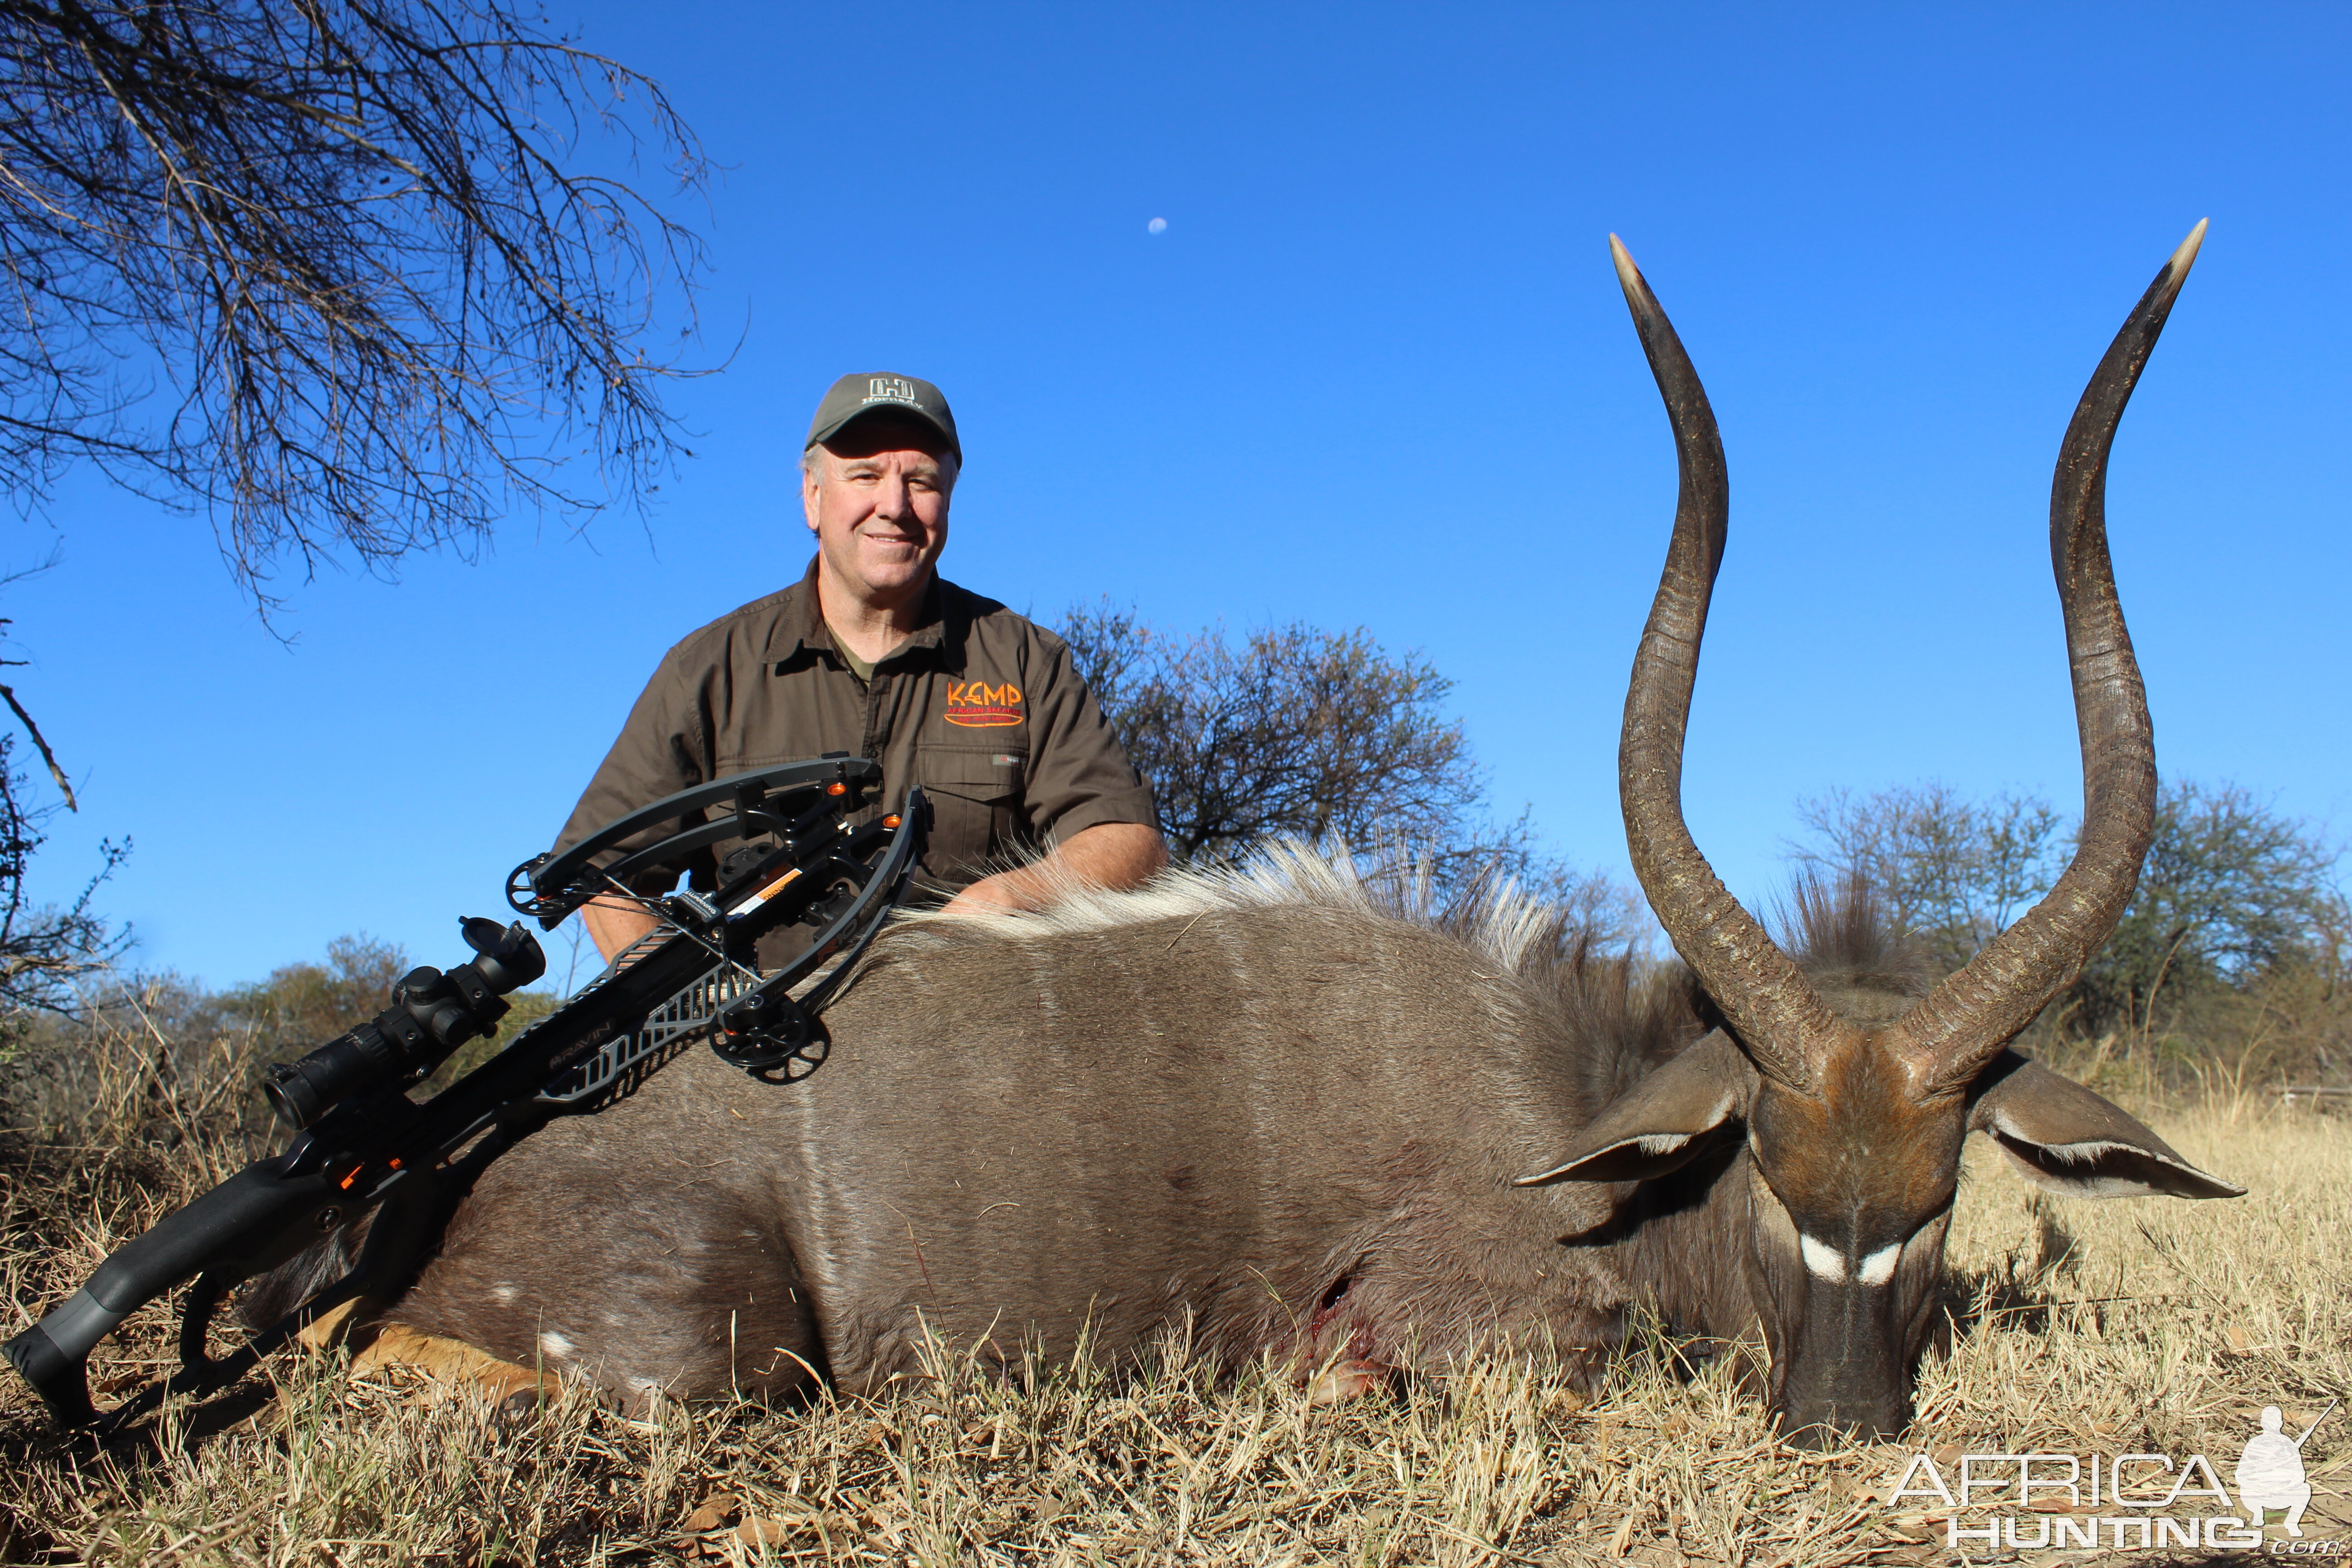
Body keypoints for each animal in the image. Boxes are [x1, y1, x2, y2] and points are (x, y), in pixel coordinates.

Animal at [257, 221, 2239, 1448]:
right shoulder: (1481, 1329)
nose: (1840, 1422)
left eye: (1944, 1187)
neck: (1570, 1104)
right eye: (1766, 1162)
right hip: (708, 1351)